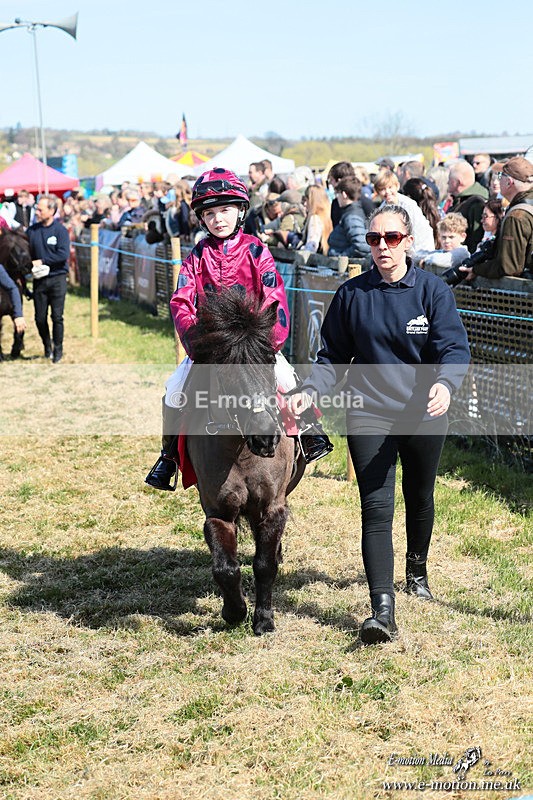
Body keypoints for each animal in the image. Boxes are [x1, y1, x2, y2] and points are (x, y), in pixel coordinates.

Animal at [184, 287, 305, 635]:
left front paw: (263, 618)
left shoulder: (272, 506)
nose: (266, 437)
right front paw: (235, 611)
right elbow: (226, 566)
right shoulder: (218, 512)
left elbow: (264, 564)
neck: (242, 451)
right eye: (225, 369)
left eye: (268, 360)